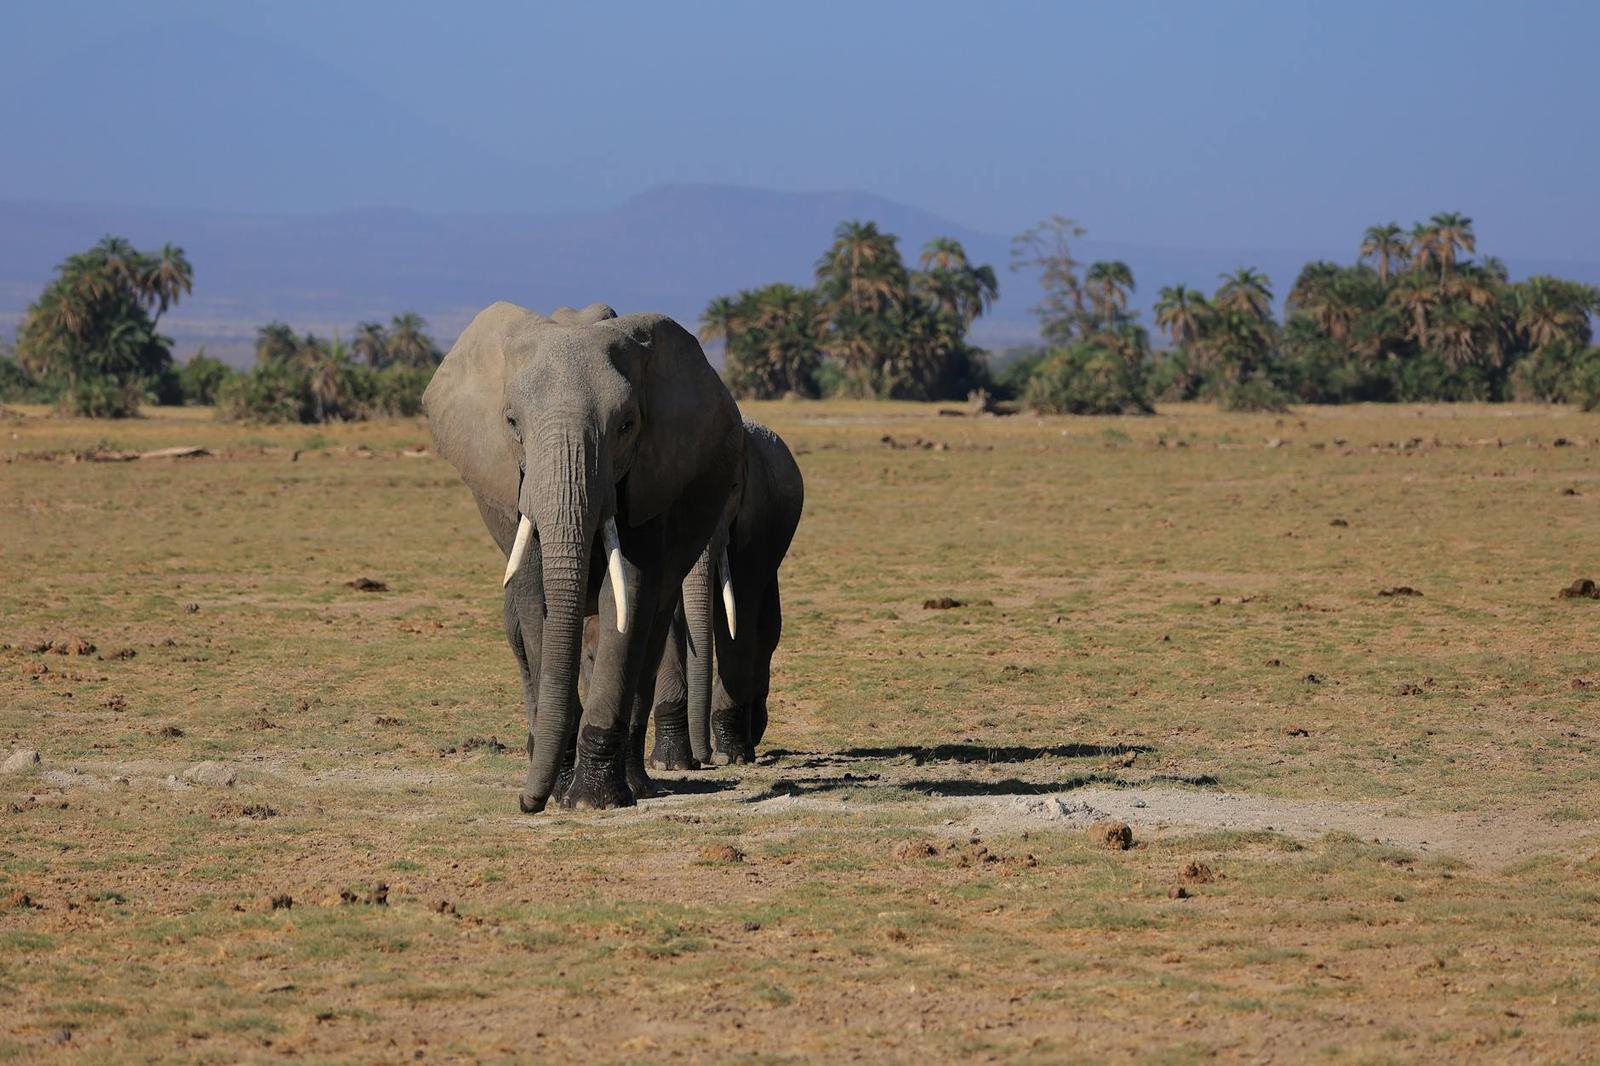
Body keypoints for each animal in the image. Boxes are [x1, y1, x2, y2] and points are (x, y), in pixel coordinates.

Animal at [423, 301, 742, 812]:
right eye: (512, 423)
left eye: (627, 425)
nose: (525, 802)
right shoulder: (516, 492)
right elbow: (535, 602)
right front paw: (558, 790)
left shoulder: (647, 478)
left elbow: (628, 593)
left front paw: (592, 801)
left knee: (650, 635)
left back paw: (638, 785)